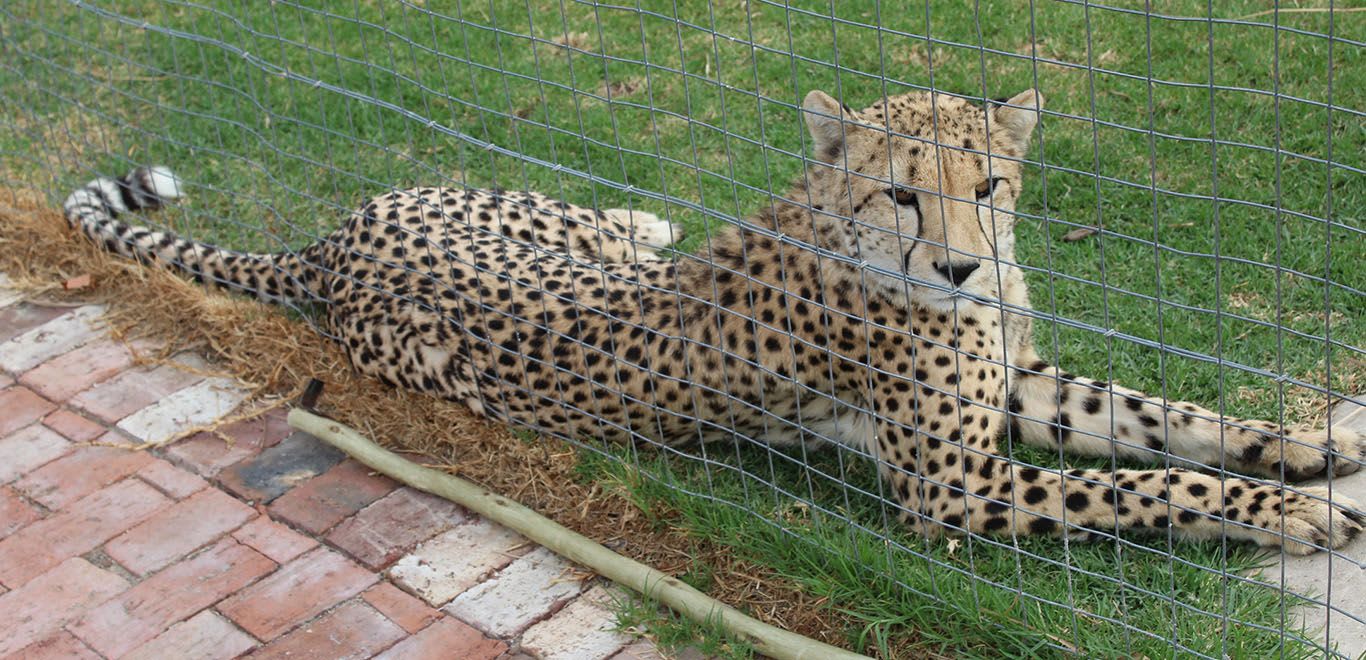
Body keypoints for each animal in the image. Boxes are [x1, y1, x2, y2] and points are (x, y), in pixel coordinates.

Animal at [64, 86, 1366, 552]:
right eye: (902, 190)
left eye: (989, 182)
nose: (959, 266)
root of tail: (328, 248)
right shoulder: (951, 487)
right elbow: (1150, 481)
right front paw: (1290, 518)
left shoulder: (1019, 387)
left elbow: (1170, 420)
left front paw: (1316, 450)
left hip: (510, 212)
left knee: (602, 227)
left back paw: (645, 223)